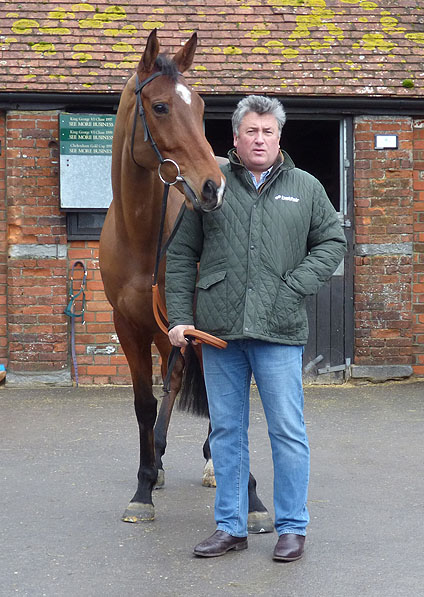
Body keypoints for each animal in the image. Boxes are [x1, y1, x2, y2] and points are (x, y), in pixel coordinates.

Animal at [99, 29, 272, 532]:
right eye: (159, 106)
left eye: (198, 105)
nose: (214, 187)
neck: (140, 236)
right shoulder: (129, 328)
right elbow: (146, 405)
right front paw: (143, 486)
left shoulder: (194, 325)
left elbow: (222, 399)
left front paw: (251, 494)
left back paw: (215, 462)